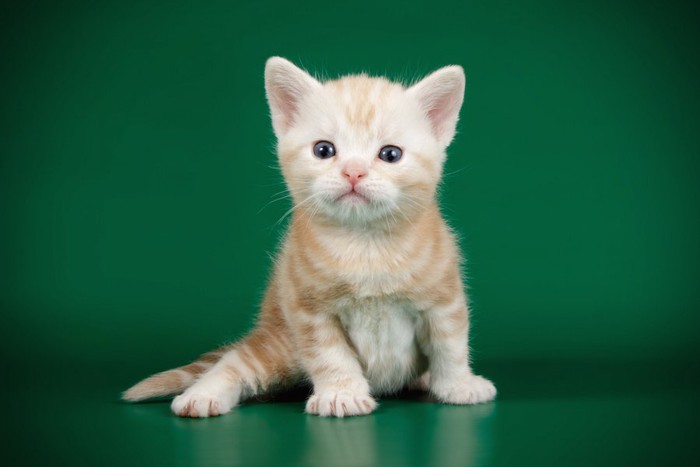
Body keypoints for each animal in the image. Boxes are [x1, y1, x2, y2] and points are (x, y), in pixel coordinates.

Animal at [126, 56, 498, 418]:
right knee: (235, 363)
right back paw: (201, 396)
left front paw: (459, 385)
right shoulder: (309, 312)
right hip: (280, 344)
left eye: (390, 154)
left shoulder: (443, 300)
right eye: (323, 150)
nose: (353, 171)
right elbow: (330, 355)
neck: (366, 245)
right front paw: (342, 394)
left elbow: (450, 344)